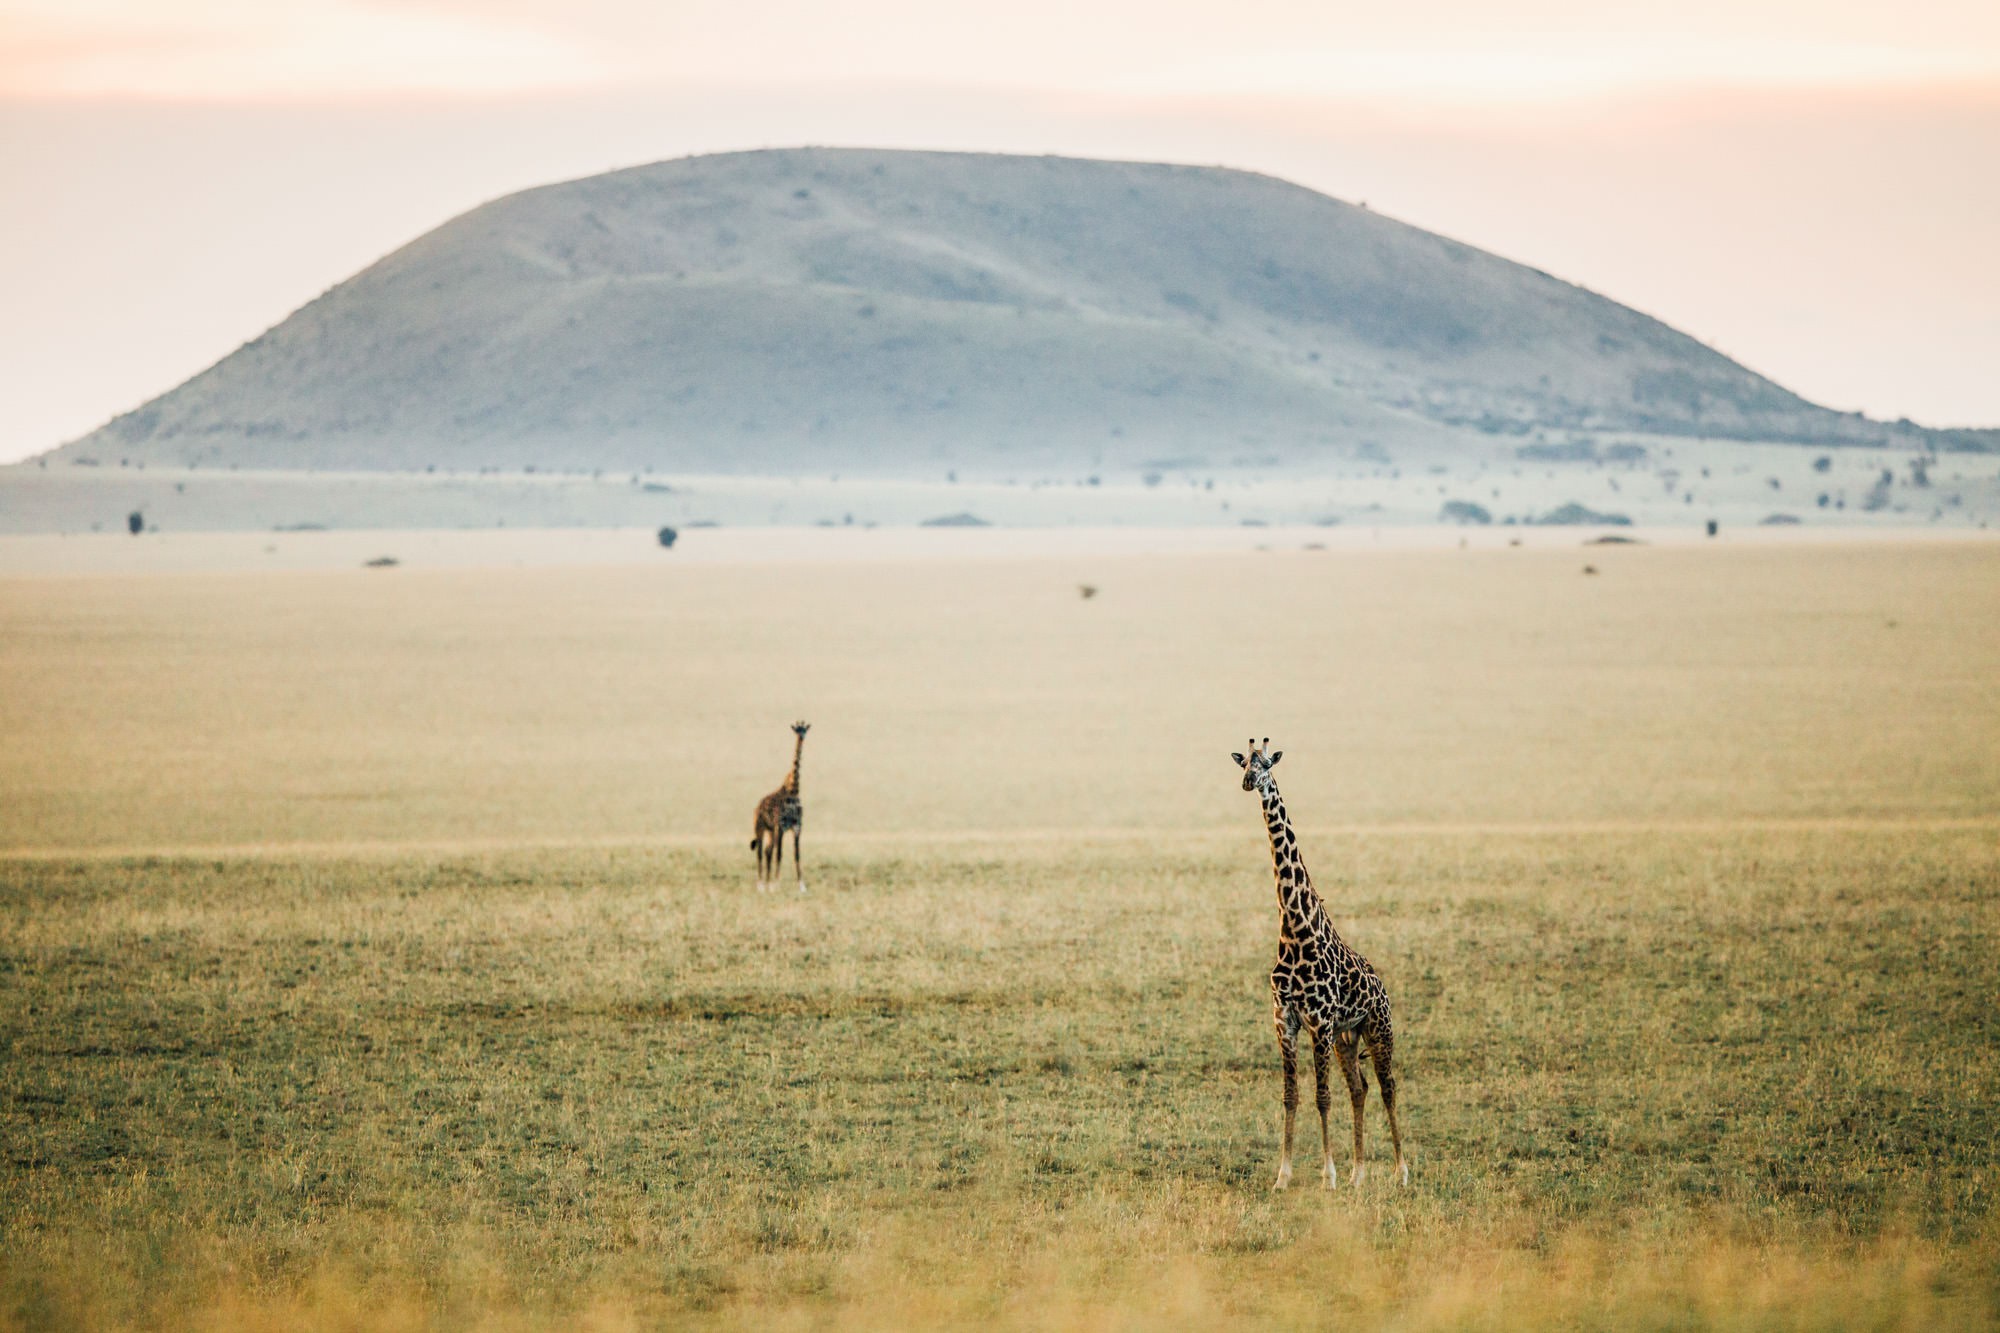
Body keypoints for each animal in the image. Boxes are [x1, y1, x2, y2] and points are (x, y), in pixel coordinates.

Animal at [751, 721, 810, 892]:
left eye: (805, 729)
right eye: (796, 729)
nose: (801, 736)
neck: (793, 790)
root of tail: (757, 808)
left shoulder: (797, 826)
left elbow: (797, 854)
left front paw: (802, 886)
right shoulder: (781, 826)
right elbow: (780, 853)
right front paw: (776, 884)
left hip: (771, 831)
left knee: (767, 851)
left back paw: (766, 882)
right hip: (760, 828)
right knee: (760, 851)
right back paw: (761, 885)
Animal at [1232, 738, 1407, 1190]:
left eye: (1266, 764)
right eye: (1243, 763)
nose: (1248, 782)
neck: (1295, 928)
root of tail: (1382, 985)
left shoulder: (1320, 1021)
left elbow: (1322, 1097)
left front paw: (1326, 1175)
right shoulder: (1286, 1020)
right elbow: (1291, 1096)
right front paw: (1283, 1176)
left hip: (1377, 1027)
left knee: (1388, 1086)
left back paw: (1401, 1171)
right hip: (1348, 1036)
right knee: (1360, 1088)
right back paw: (1358, 1174)